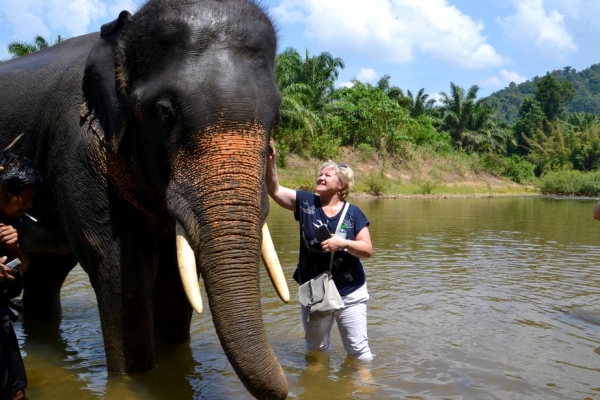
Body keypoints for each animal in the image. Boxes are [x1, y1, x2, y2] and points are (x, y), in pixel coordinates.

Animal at [0, 0, 290, 396]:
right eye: (166, 114)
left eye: (278, 119)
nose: (290, 384)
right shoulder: (77, 149)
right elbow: (121, 270)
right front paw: (133, 380)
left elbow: (172, 276)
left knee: (49, 269)